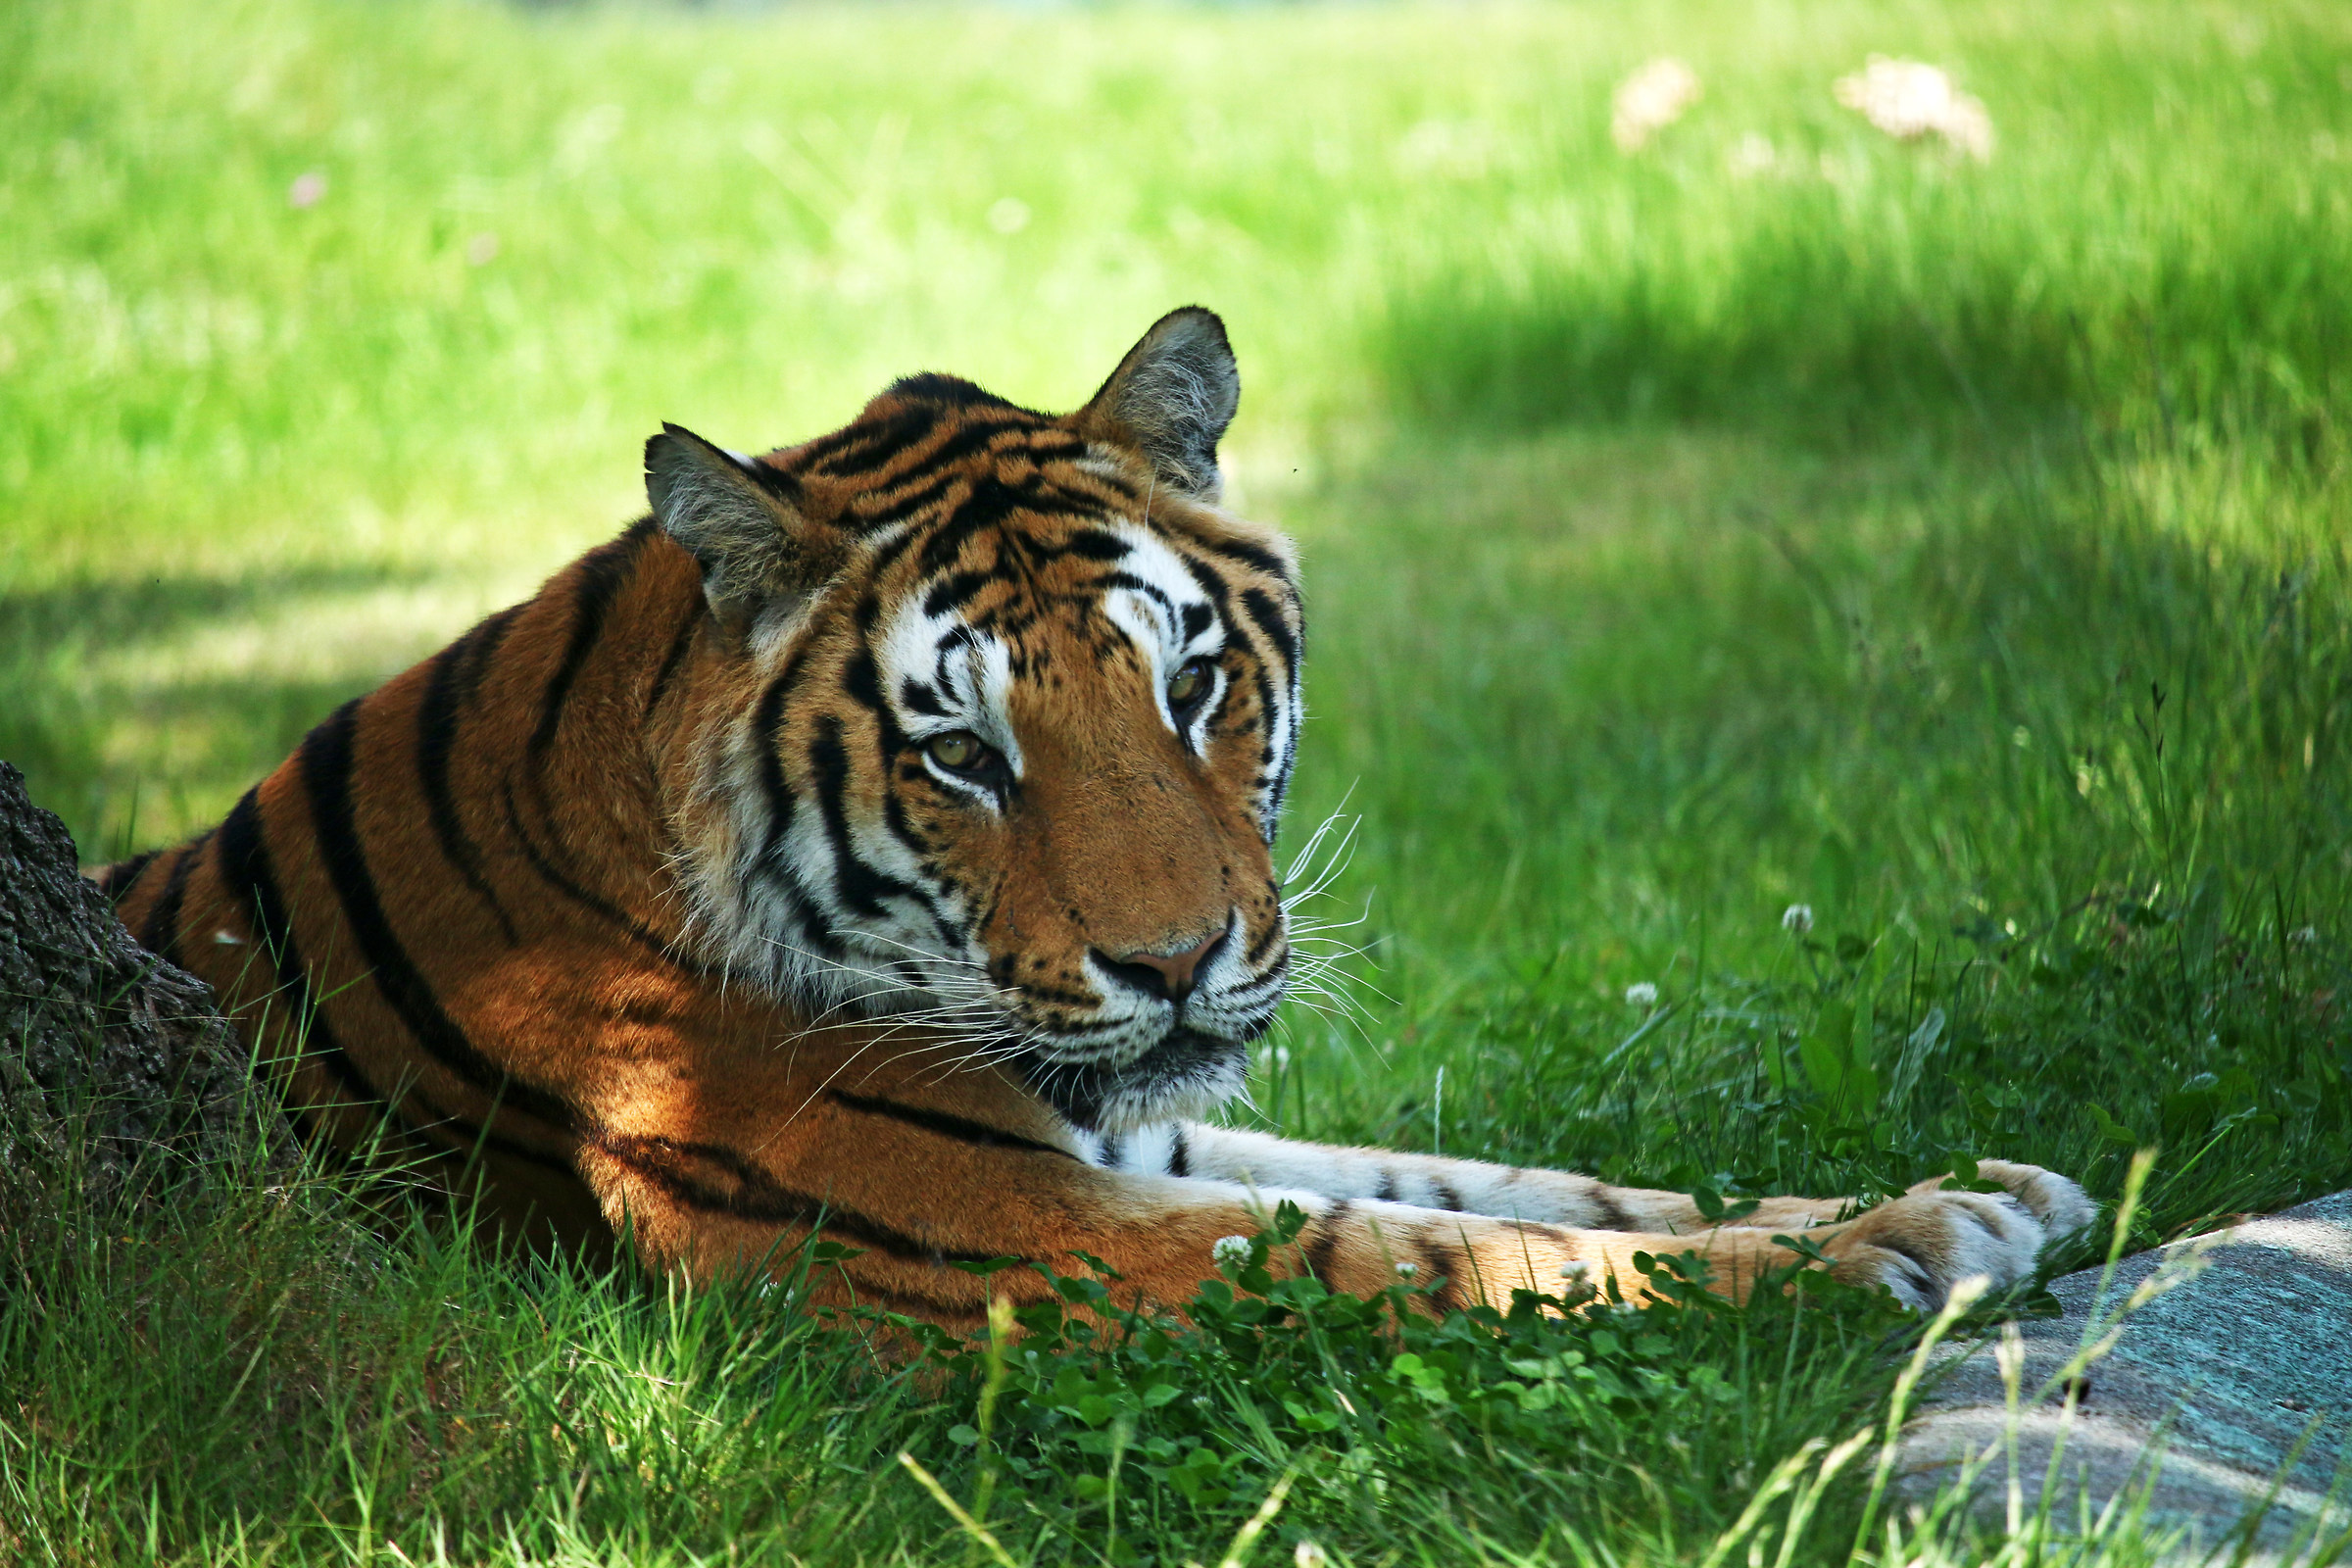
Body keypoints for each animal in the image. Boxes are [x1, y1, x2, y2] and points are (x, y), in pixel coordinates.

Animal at [95, 308, 2093, 1329]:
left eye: (1191, 683)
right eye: (965, 757)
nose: (1180, 962)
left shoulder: (1108, 1120)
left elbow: (1494, 1180)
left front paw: (1966, 1191)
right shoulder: (971, 1219)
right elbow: (1427, 1248)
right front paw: (1891, 1254)